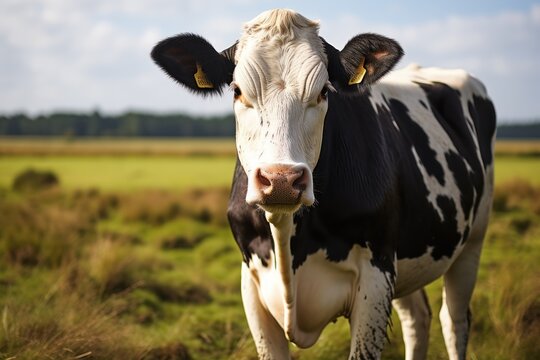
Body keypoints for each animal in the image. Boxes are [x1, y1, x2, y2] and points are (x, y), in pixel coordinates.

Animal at [150, 8, 496, 360]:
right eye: (237, 91)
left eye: (323, 91)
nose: (280, 180)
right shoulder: (251, 282)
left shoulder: (376, 276)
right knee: (418, 318)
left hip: (473, 240)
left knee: (453, 321)